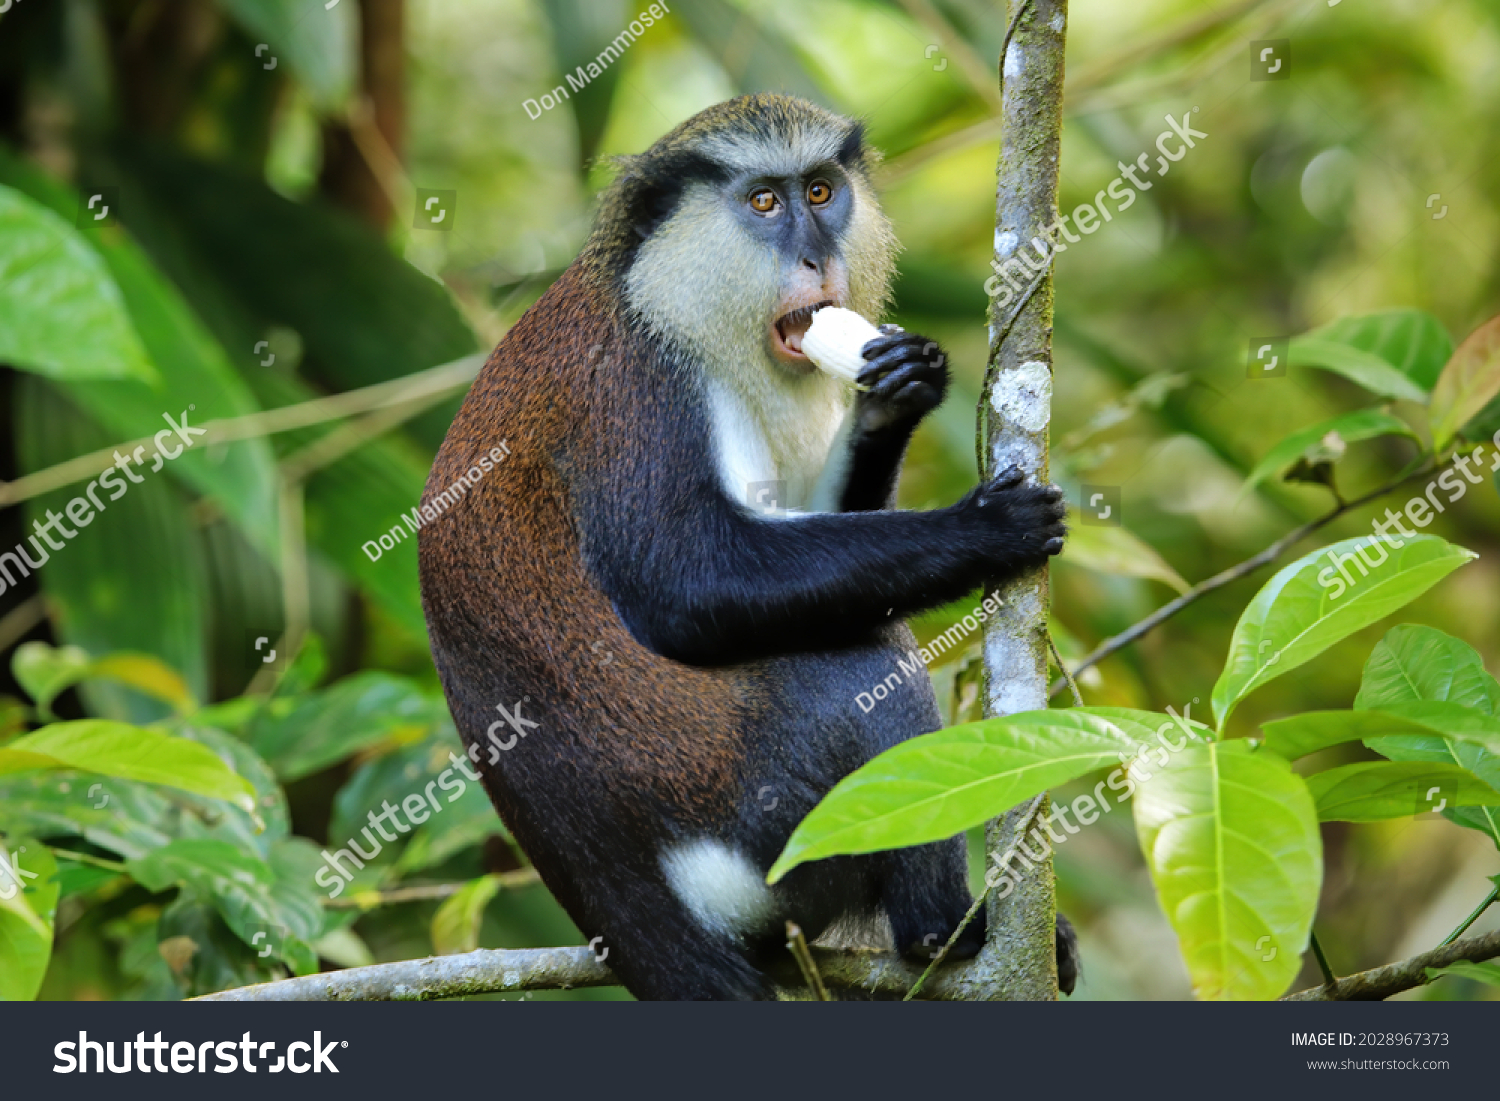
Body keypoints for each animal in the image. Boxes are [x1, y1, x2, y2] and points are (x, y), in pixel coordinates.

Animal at [420, 94, 1068, 1002]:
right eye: (764, 201)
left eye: (821, 191)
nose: (816, 253)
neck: (662, 296)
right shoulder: (636, 391)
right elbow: (688, 587)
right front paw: (984, 531)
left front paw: (896, 393)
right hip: (767, 827)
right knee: (859, 663)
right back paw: (940, 930)